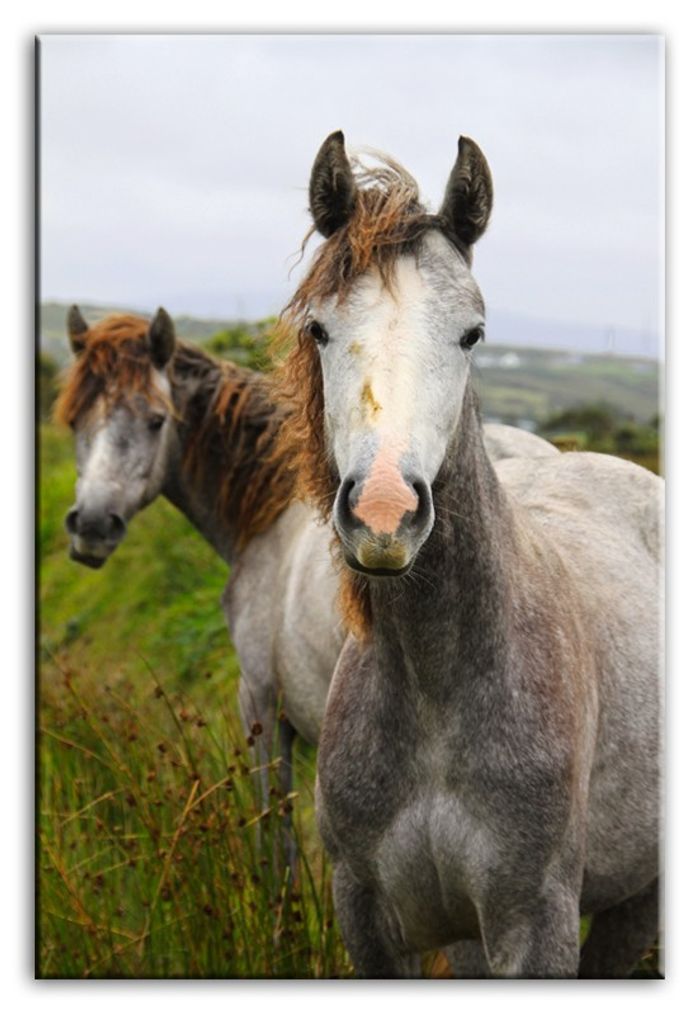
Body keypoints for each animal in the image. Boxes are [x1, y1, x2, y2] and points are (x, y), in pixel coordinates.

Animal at [273, 131, 663, 977]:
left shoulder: (535, 922)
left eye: (472, 333)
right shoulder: (369, 917)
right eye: (319, 328)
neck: (436, 686)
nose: (384, 513)